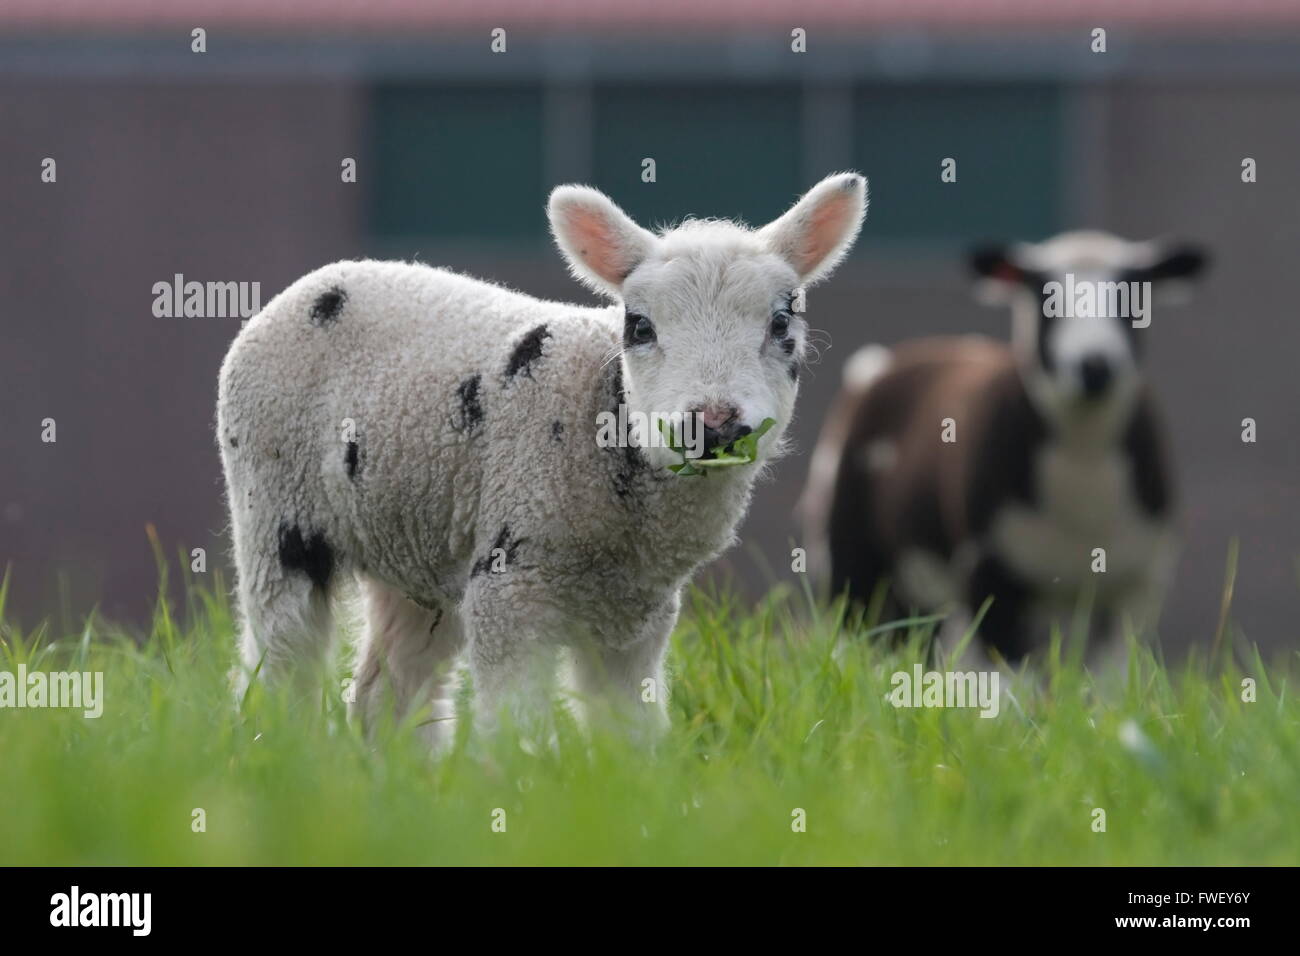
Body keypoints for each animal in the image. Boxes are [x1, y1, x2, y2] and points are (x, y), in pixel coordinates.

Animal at [218, 170, 868, 749]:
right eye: (639, 326)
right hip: (273, 503)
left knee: (392, 685)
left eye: (781, 322)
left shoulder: (639, 615)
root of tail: (320, 279)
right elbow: (516, 723)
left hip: (414, 537)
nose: (713, 425)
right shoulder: (512, 581)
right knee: (283, 651)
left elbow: (628, 728)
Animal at [800, 231, 1206, 665]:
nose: (1095, 365)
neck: (1084, 467)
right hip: (851, 554)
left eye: (1133, 293)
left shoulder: (1137, 587)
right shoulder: (991, 573)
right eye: (1045, 295)